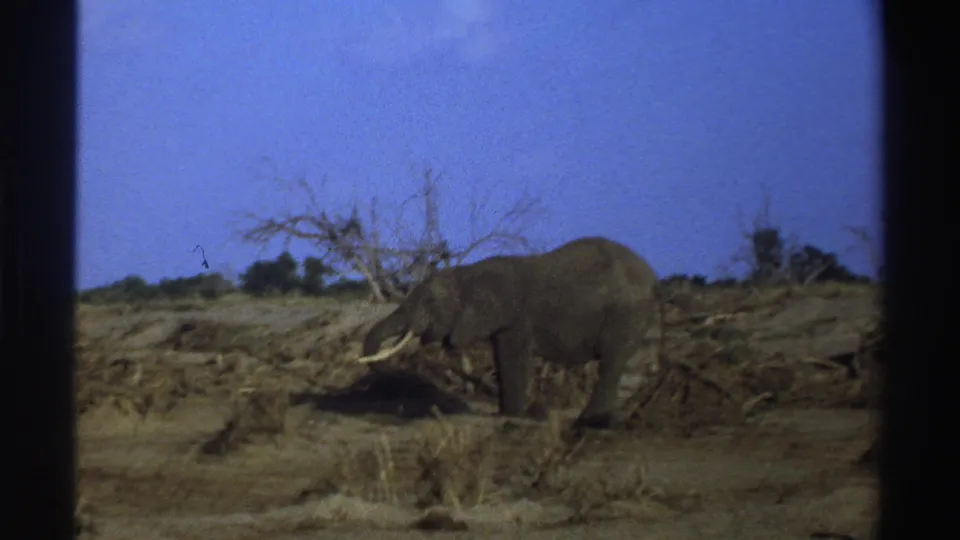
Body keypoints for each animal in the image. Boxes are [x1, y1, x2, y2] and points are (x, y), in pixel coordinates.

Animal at [357, 236, 663, 430]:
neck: (469, 274)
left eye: (430, 302)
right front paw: (509, 413)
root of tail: (652, 276)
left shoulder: (516, 317)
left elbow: (511, 357)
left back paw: (589, 423)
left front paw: (517, 414)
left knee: (611, 362)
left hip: (626, 313)